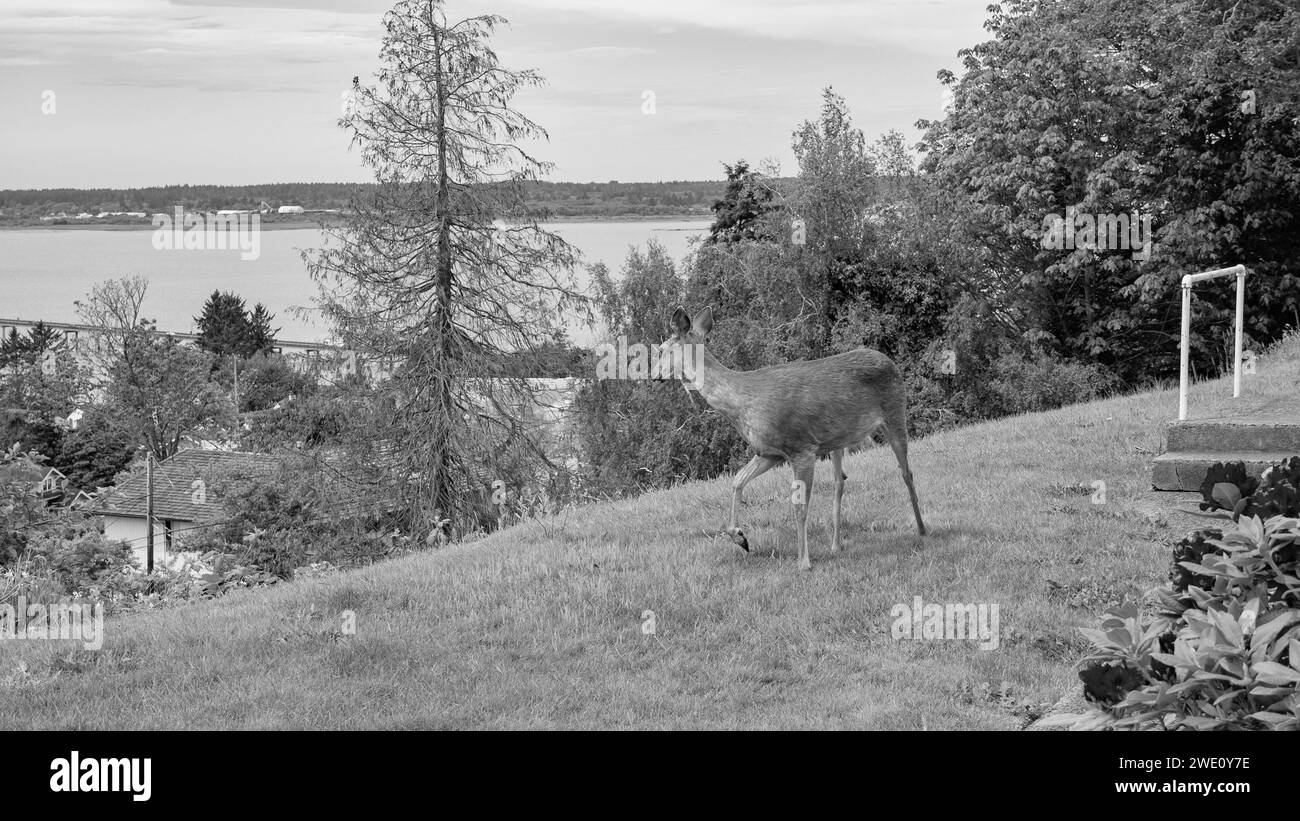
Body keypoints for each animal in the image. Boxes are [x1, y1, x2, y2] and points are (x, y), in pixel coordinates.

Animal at [657, 306, 925, 571]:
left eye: (660, 350)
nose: (654, 374)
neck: (744, 403)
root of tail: (888, 360)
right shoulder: (769, 453)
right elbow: (737, 480)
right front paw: (740, 537)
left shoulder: (801, 447)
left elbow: (799, 506)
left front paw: (803, 561)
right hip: (838, 439)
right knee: (840, 481)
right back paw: (835, 545)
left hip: (895, 411)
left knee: (906, 472)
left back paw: (922, 529)